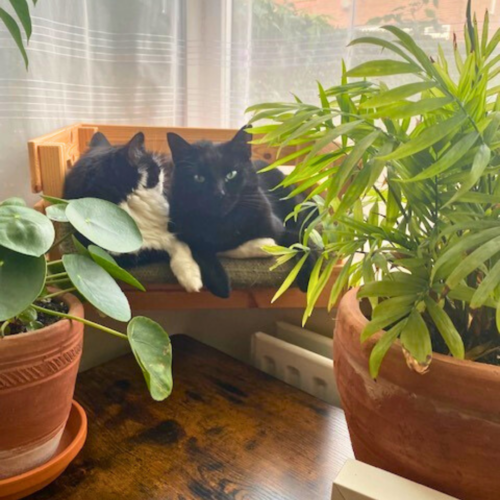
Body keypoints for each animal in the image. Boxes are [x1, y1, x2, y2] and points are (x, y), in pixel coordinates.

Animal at [168, 125, 316, 298]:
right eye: (198, 178)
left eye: (231, 174)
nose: (218, 194)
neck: (224, 224)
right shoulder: (184, 231)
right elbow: (200, 248)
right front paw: (220, 283)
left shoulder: (280, 230)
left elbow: (301, 242)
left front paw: (308, 278)